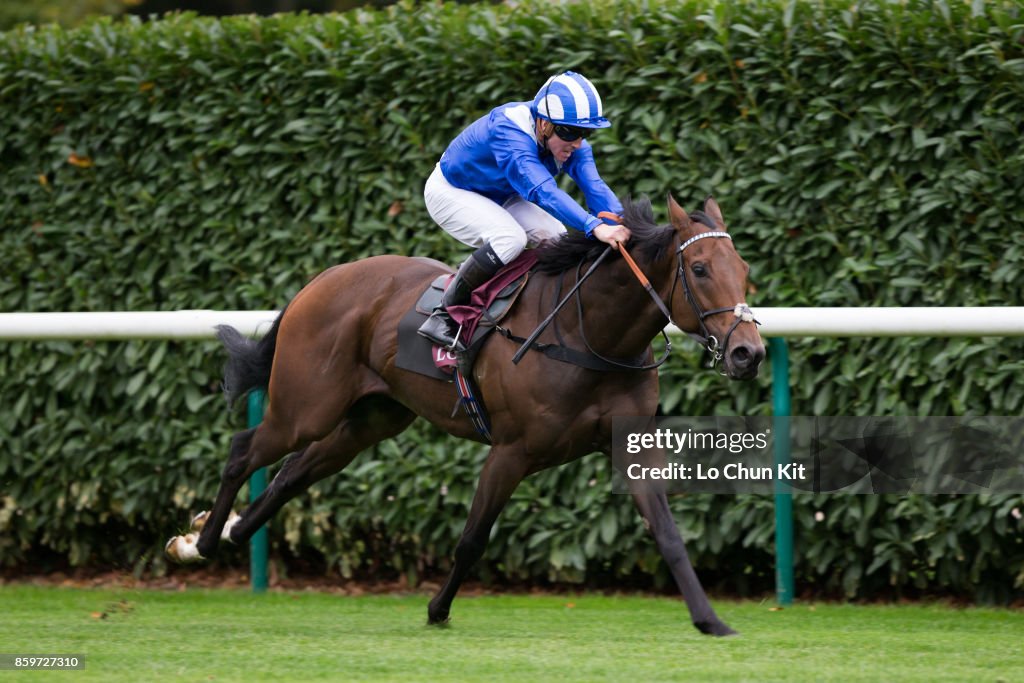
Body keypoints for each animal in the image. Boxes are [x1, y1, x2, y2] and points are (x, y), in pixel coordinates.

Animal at [165, 194, 761, 638]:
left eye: (744, 269)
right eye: (700, 269)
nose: (747, 353)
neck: (586, 331)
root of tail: (321, 279)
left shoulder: (629, 445)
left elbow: (668, 534)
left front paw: (710, 620)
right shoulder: (512, 450)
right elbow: (473, 538)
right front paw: (437, 610)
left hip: (371, 418)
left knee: (294, 472)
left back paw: (225, 533)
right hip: (306, 406)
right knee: (245, 449)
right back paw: (204, 542)